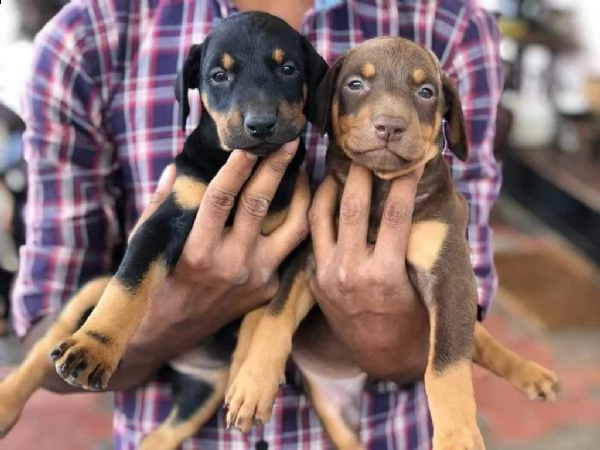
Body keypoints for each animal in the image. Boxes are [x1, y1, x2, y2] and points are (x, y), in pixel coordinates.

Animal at [0, 11, 328, 450]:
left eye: (288, 69)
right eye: (219, 75)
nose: (260, 125)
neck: (249, 172)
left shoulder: (297, 249)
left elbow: (276, 312)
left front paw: (253, 384)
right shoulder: (163, 220)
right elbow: (129, 286)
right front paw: (95, 348)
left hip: (203, 392)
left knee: (163, 434)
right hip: (88, 292)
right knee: (43, 350)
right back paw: (10, 400)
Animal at [223, 36, 560, 450]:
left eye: (426, 92)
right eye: (355, 85)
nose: (390, 126)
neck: (380, 192)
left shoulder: (450, 278)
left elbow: (447, 366)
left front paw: (457, 436)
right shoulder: (307, 258)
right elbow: (276, 315)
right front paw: (253, 386)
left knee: (478, 341)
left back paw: (532, 374)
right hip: (334, 413)